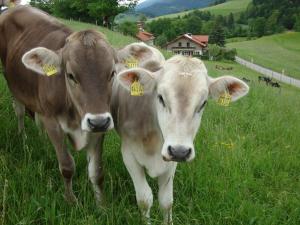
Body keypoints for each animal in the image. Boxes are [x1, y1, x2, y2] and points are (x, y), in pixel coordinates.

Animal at [0, 5, 116, 204]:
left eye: (112, 73)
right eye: (70, 75)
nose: (98, 122)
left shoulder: (98, 125)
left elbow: (97, 172)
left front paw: (102, 205)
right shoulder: (53, 122)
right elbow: (67, 166)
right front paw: (71, 201)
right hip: (12, 83)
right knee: (20, 111)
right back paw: (23, 137)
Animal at [111, 44, 250, 223]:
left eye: (203, 103)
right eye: (160, 97)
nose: (179, 151)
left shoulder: (171, 162)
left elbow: (166, 201)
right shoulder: (129, 156)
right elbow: (144, 199)